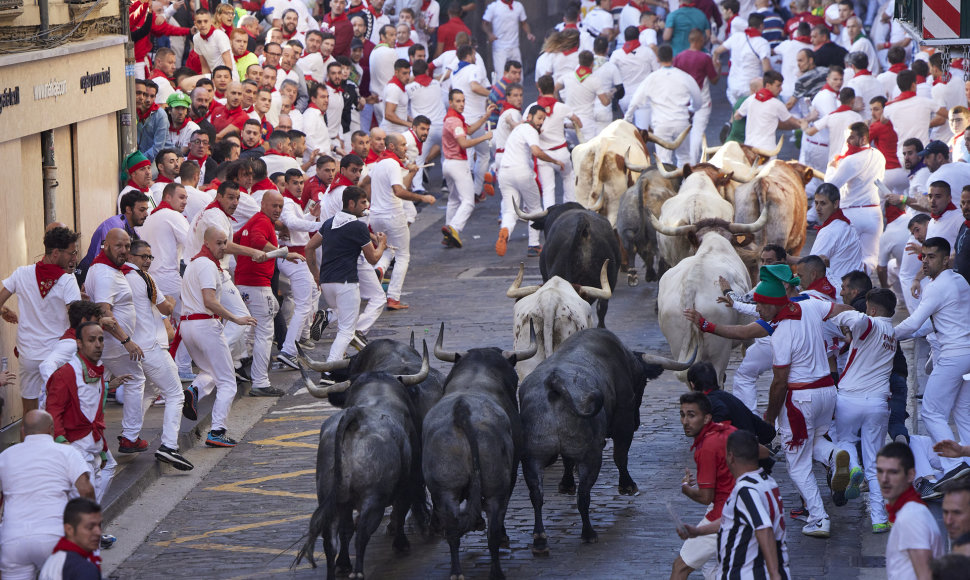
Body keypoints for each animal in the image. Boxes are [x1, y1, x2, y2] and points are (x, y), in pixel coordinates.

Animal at [294, 342, 430, 576]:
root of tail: (356, 416)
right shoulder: (408, 483)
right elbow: (401, 510)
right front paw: (401, 543)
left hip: (331, 497)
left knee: (334, 538)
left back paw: (340, 566)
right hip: (372, 499)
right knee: (361, 534)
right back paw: (358, 570)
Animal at [424, 324, 536, 576]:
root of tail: (462, 410)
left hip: (445, 490)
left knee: (452, 531)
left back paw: (456, 572)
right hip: (497, 488)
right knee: (493, 530)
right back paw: (497, 568)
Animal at [520, 330, 692, 552]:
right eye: (642, 382)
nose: (638, 422)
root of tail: (555, 383)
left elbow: (567, 462)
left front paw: (566, 485)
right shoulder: (624, 422)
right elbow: (620, 456)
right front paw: (627, 486)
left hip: (532, 458)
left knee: (537, 495)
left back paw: (540, 539)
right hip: (591, 455)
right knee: (584, 494)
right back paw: (588, 533)